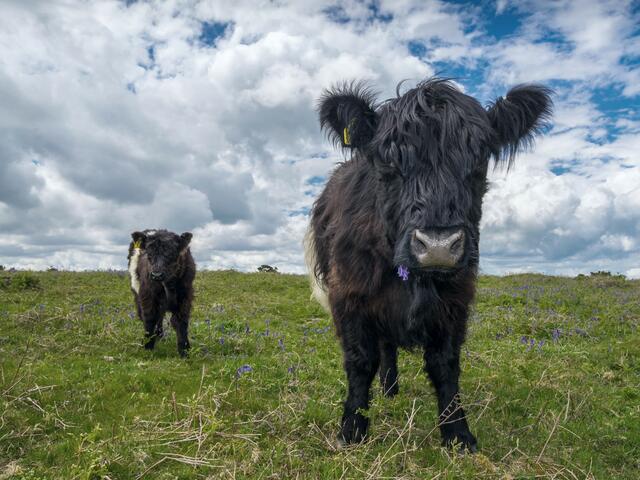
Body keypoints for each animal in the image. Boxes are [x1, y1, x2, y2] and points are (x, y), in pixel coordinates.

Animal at [304, 78, 552, 450]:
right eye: (388, 160)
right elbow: (361, 361)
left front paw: (457, 433)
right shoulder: (348, 294)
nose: (438, 247)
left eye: (479, 159)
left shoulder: (456, 299)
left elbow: (445, 364)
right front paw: (352, 429)